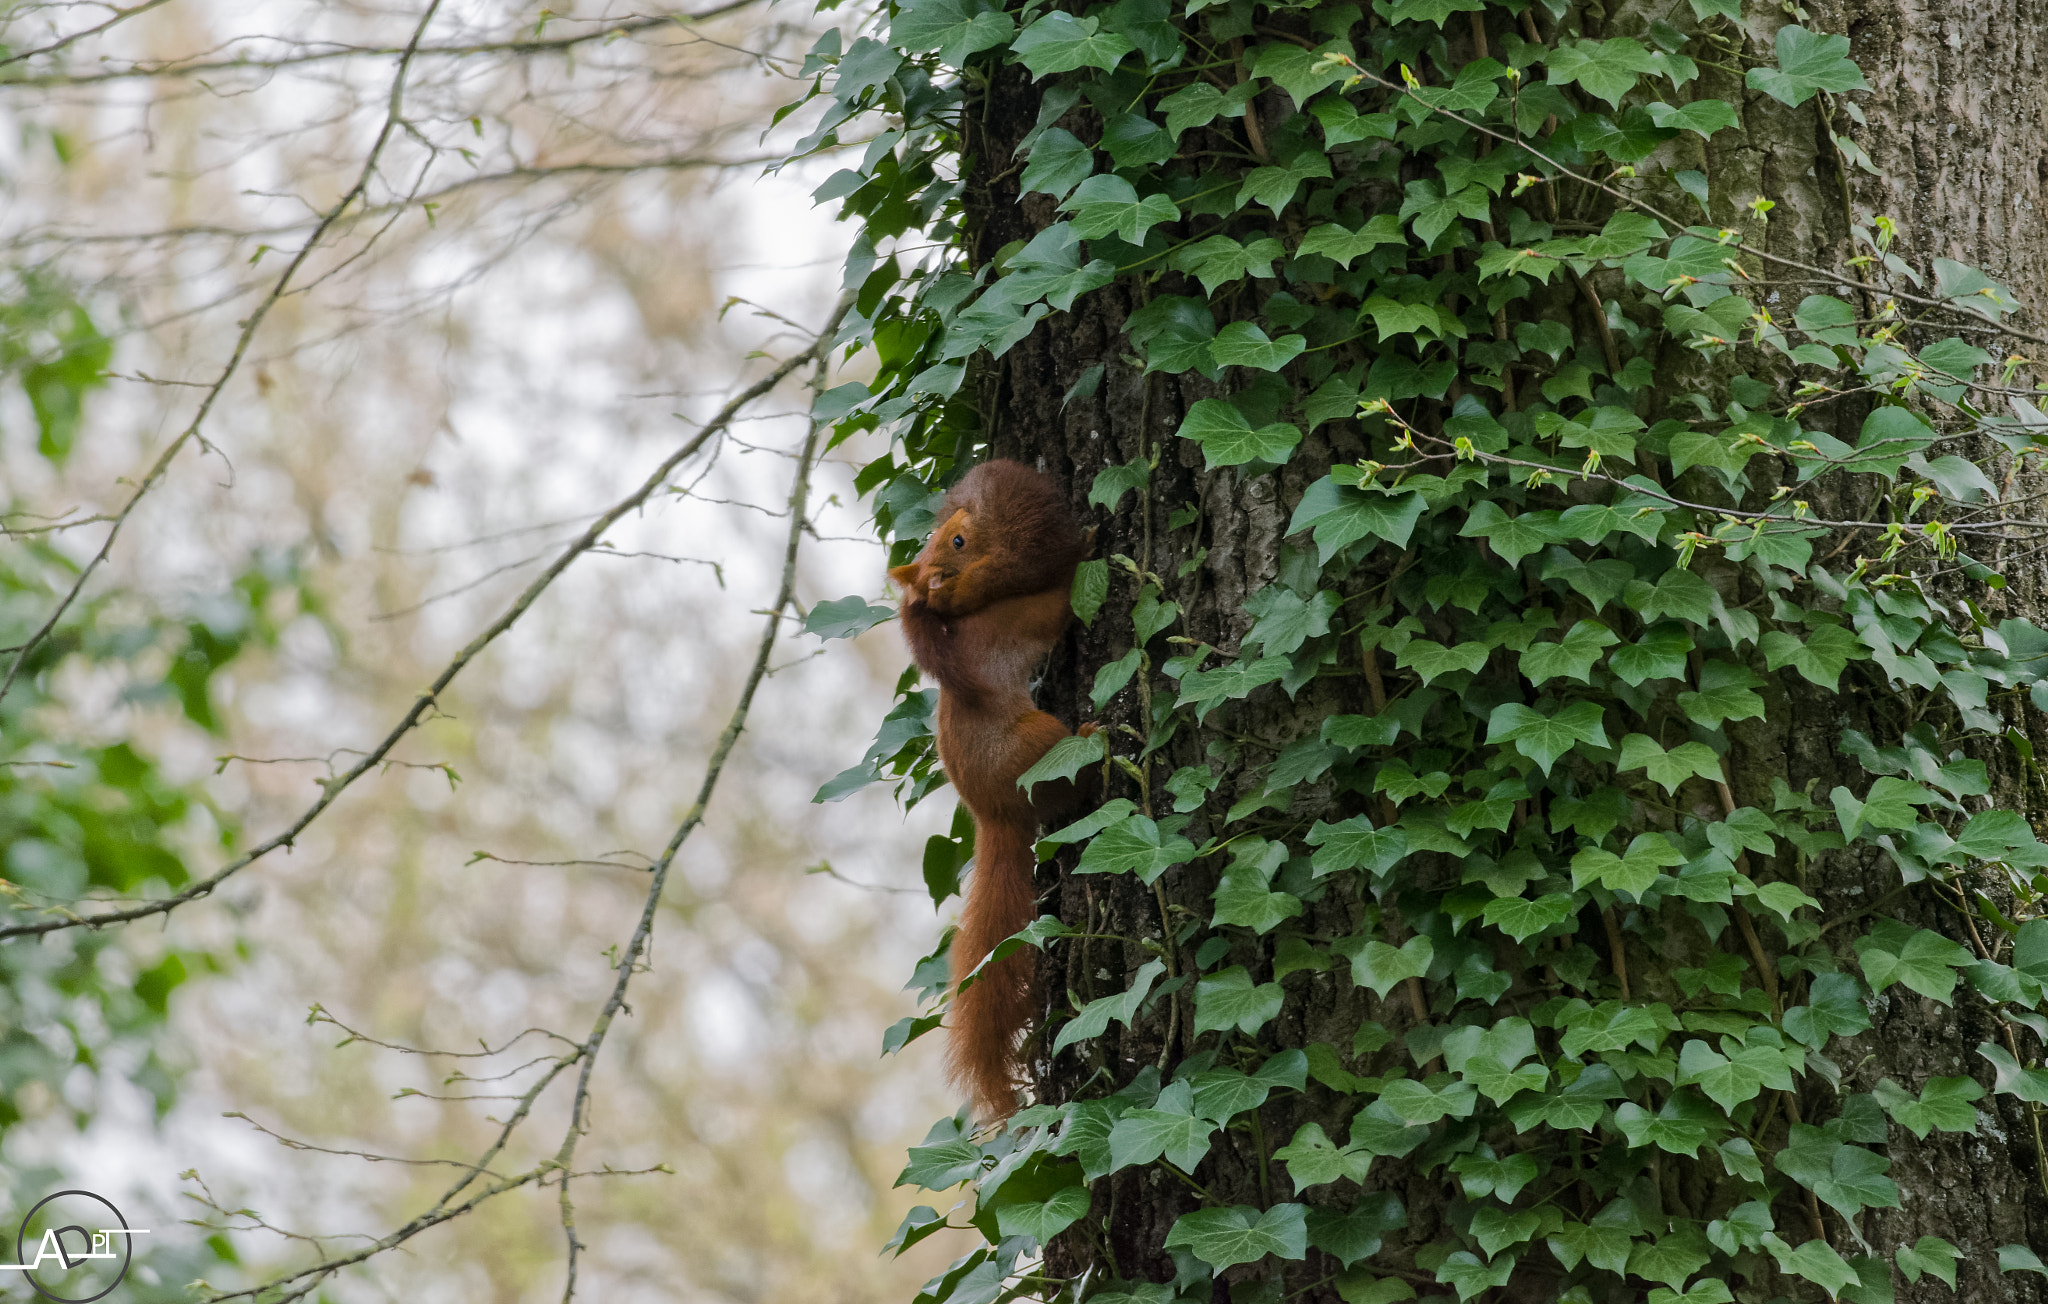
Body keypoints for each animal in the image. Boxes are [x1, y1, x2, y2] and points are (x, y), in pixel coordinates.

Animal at [888, 458, 1097, 1121]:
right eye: (955, 543)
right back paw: (1094, 737)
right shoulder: (1020, 619)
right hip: (1038, 745)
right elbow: (1058, 602)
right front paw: (1091, 544)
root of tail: (996, 814)